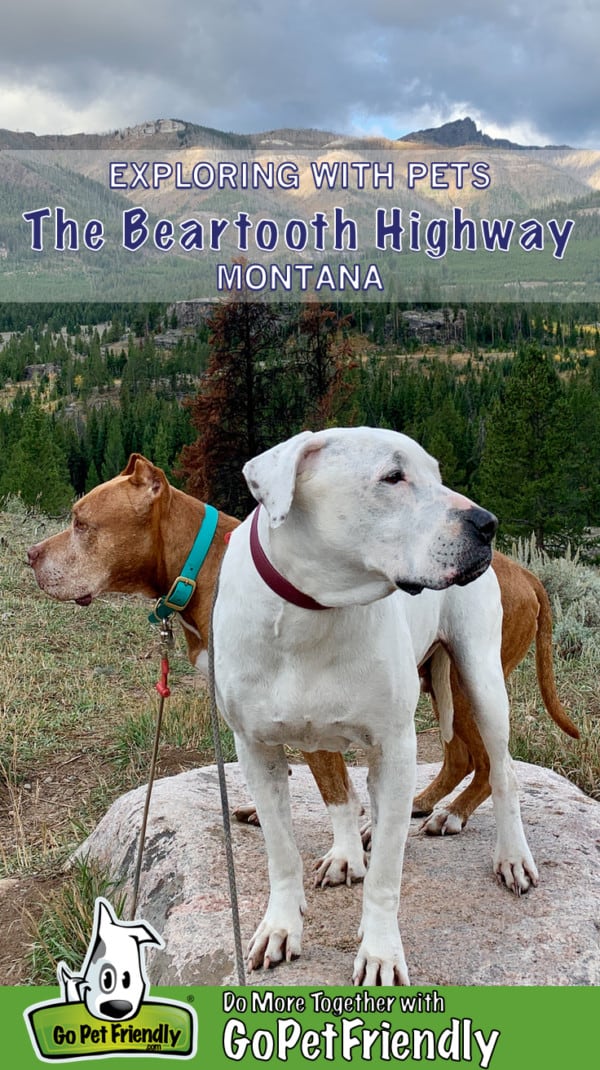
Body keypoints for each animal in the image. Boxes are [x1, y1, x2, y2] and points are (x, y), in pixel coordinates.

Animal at [28, 451, 577, 868]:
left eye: (81, 523)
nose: (30, 556)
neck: (200, 566)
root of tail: (524, 571)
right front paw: (265, 811)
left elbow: (333, 783)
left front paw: (342, 855)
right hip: (435, 677)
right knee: (461, 755)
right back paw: (417, 805)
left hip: (469, 680)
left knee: (490, 760)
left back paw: (453, 815)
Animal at [211, 428, 539, 984]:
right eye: (392, 476)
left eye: (437, 473)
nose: (487, 524)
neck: (311, 611)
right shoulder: (256, 749)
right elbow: (282, 848)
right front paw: (281, 926)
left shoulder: (396, 747)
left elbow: (386, 871)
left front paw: (381, 951)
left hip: (482, 680)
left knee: (502, 770)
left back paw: (510, 854)